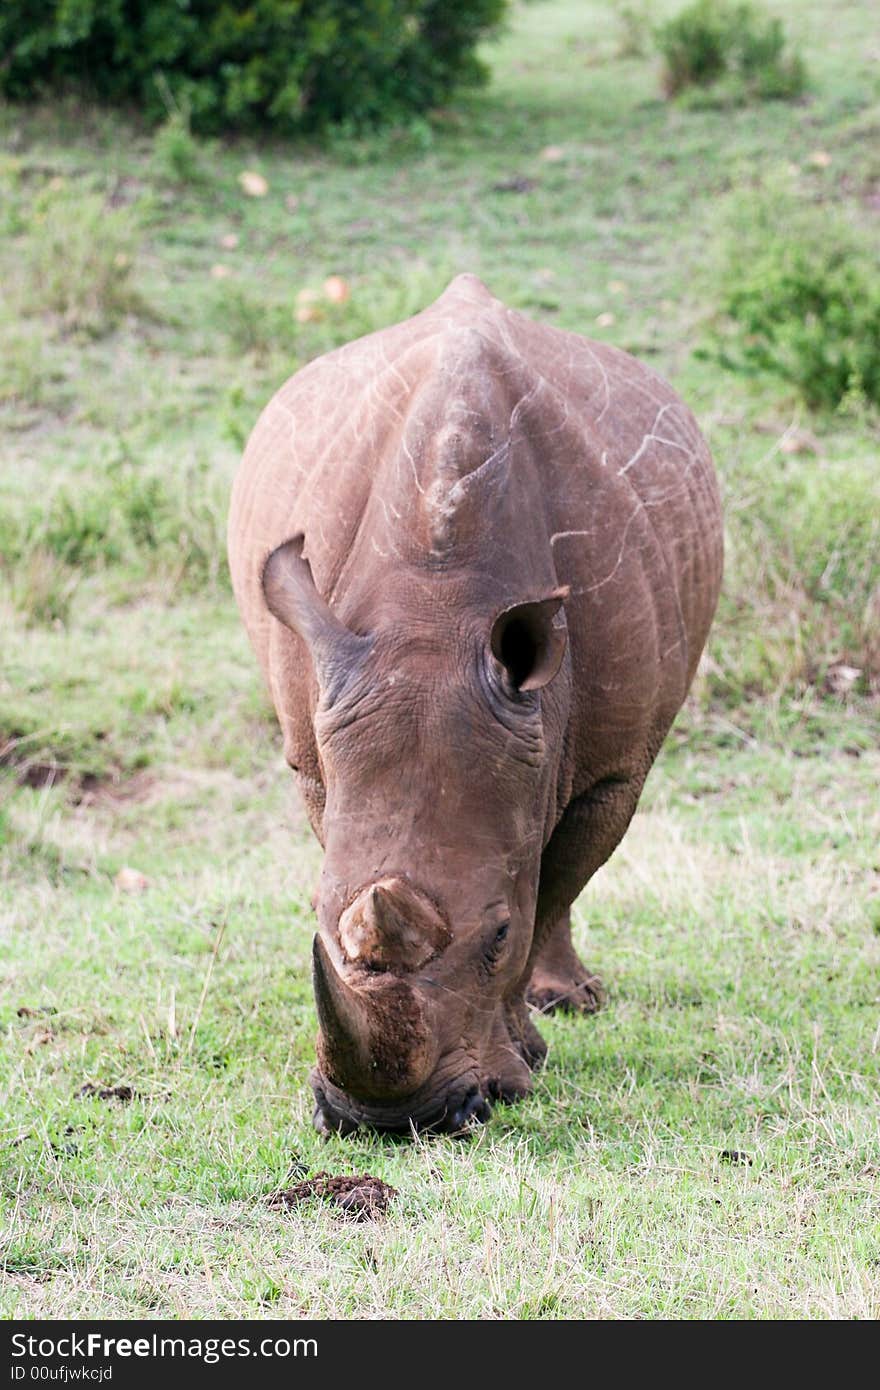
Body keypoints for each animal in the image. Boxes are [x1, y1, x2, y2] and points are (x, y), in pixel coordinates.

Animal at [226, 276, 722, 1134]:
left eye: (495, 934)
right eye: (311, 913)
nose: (388, 1120)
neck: (438, 608)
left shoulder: (610, 766)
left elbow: (552, 885)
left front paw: (525, 1057)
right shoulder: (317, 747)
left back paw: (571, 1003)